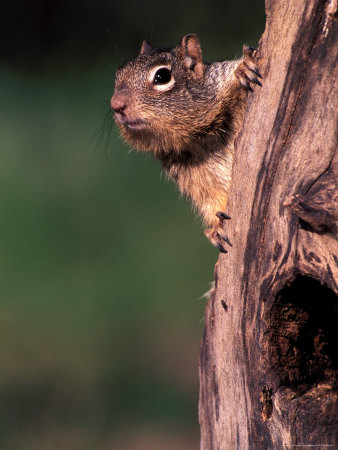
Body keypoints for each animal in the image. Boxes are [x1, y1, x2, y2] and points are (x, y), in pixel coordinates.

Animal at [111, 34, 262, 253]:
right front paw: (215, 229)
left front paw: (244, 68)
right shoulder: (194, 178)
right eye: (117, 75)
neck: (200, 136)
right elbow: (211, 202)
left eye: (162, 76)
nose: (116, 105)